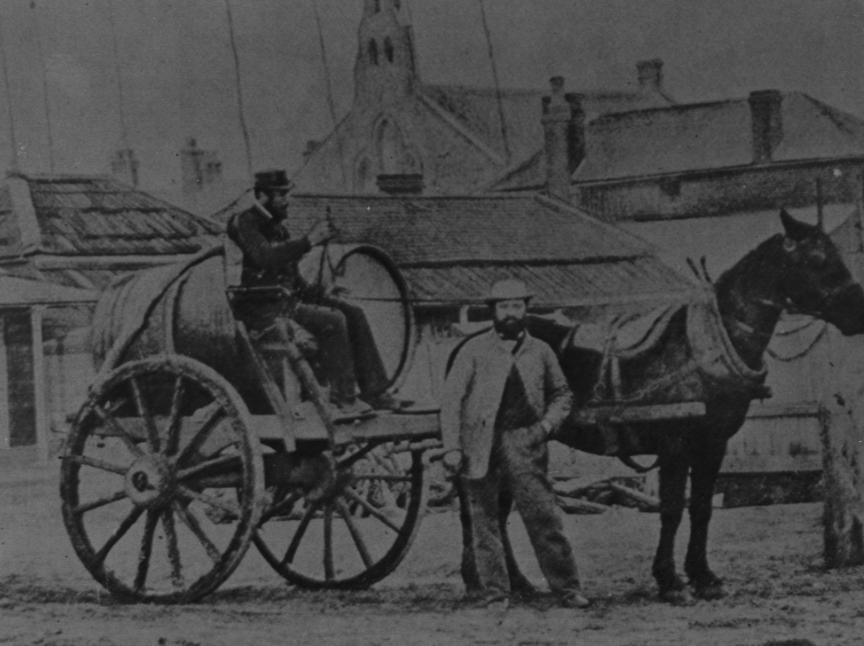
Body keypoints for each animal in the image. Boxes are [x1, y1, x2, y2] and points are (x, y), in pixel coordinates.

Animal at [452, 210, 864, 604]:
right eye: (816, 259)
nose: (857, 312)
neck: (701, 349)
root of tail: (464, 344)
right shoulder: (674, 446)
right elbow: (671, 510)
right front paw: (670, 582)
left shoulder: (713, 444)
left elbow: (701, 508)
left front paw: (703, 577)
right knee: (478, 509)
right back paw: (478, 582)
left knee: (498, 510)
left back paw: (515, 583)